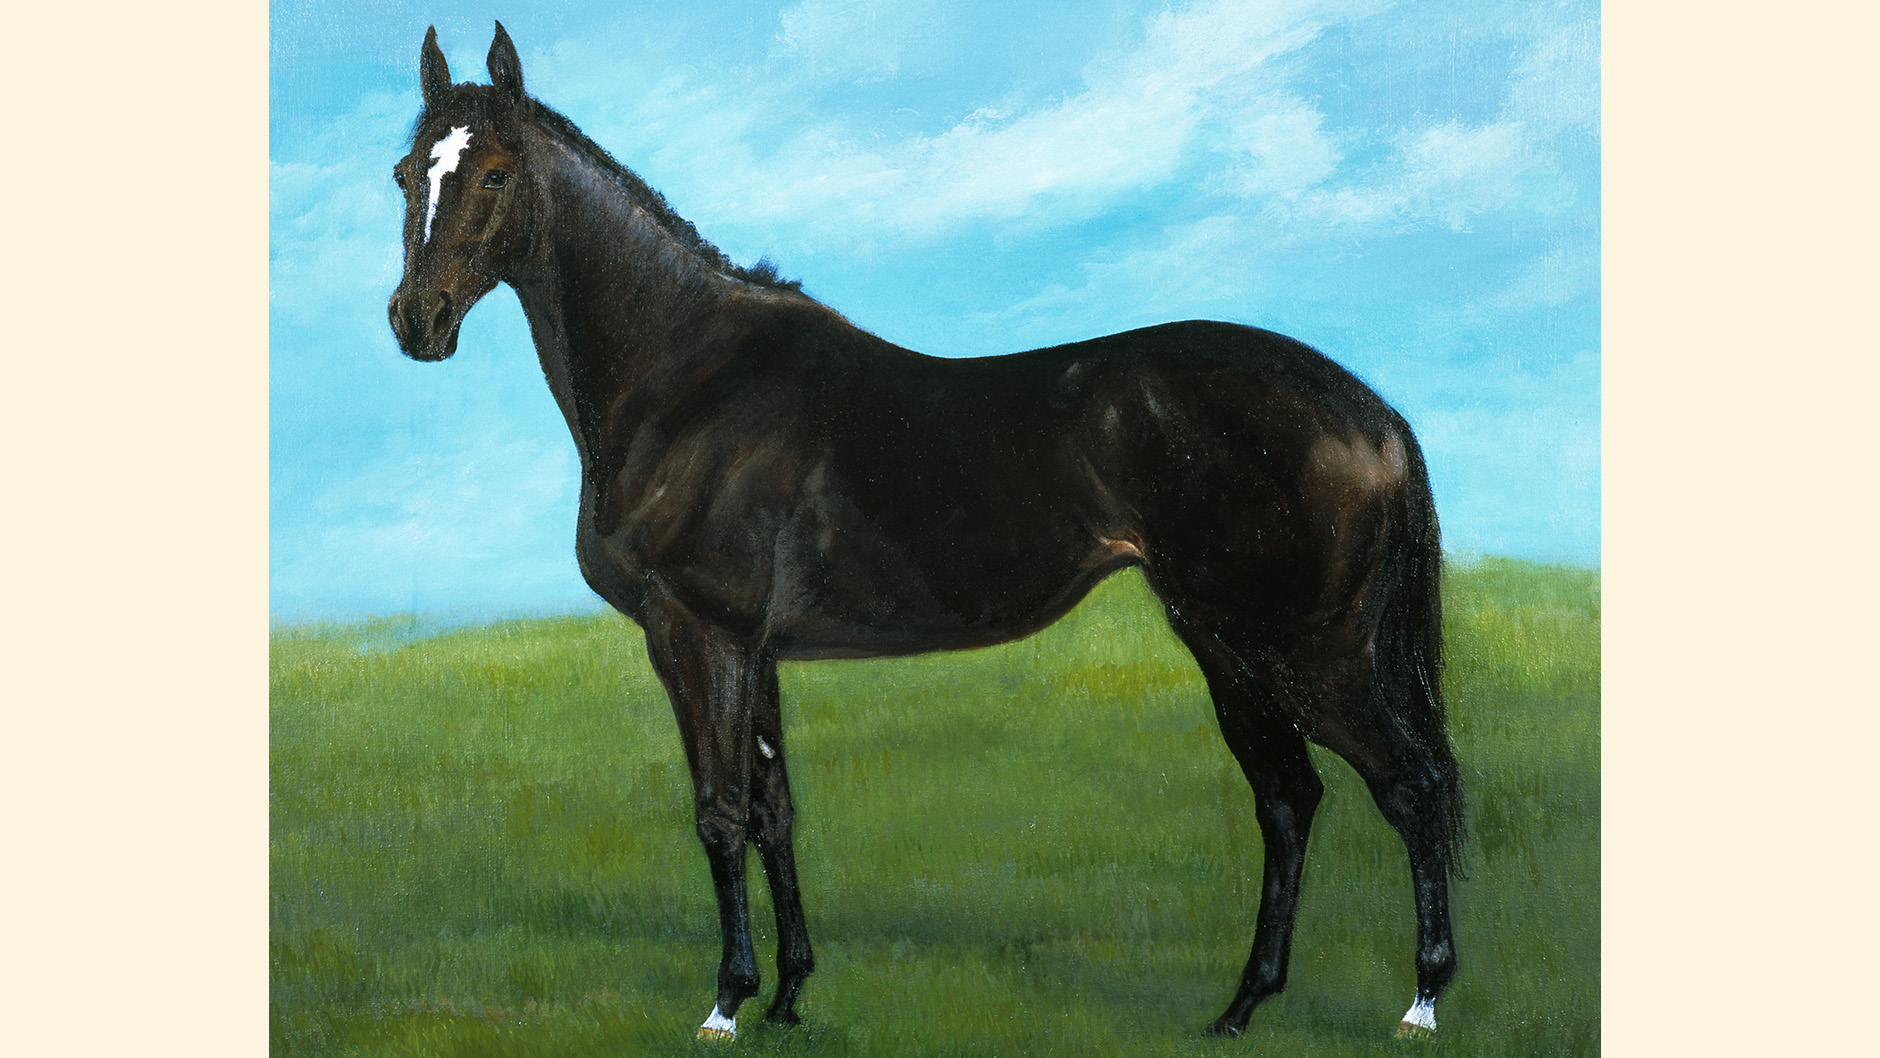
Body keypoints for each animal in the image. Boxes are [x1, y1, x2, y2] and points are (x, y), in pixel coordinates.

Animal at [387, 23, 1463, 1043]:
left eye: (493, 173)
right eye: (407, 173)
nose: (416, 322)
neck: (687, 377)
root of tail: (1372, 414)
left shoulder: (700, 634)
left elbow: (721, 813)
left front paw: (726, 1003)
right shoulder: (757, 647)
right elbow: (774, 812)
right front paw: (789, 994)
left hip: (1308, 648)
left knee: (1407, 787)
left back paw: (1418, 1002)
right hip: (1225, 641)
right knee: (1290, 800)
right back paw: (1240, 1007)